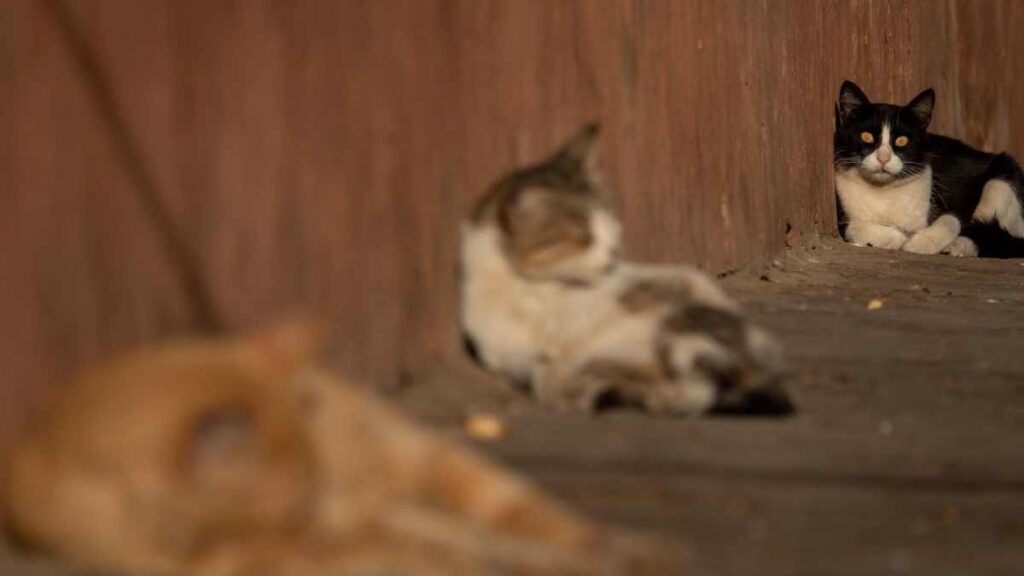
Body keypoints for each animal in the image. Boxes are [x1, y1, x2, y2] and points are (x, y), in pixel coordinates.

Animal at [460, 123, 794, 414]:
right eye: (582, 237)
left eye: (611, 224)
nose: (615, 252)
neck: (534, 288)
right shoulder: (504, 346)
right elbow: (536, 363)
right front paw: (560, 383)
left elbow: (685, 276)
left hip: (684, 334)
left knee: (709, 375)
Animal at [831, 79, 1024, 256]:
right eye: (866, 136)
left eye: (902, 140)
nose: (883, 158)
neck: (883, 192)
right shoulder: (842, 215)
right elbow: (853, 227)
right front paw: (897, 237)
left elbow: (952, 220)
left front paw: (918, 243)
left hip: (1001, 176)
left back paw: (957, 246)